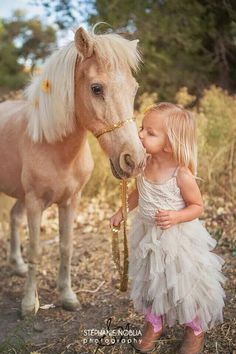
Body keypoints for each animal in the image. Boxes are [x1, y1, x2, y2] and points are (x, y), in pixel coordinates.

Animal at [0, 26, 146, 316]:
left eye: (134, 88)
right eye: (96, 88)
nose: (133, 160)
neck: (52, 145)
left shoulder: (70, 201)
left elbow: (66, 247)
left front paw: (67, 296)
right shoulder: (35, 202)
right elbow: (35, 250)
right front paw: (29, 304)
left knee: (14, 218)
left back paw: (17, 265)